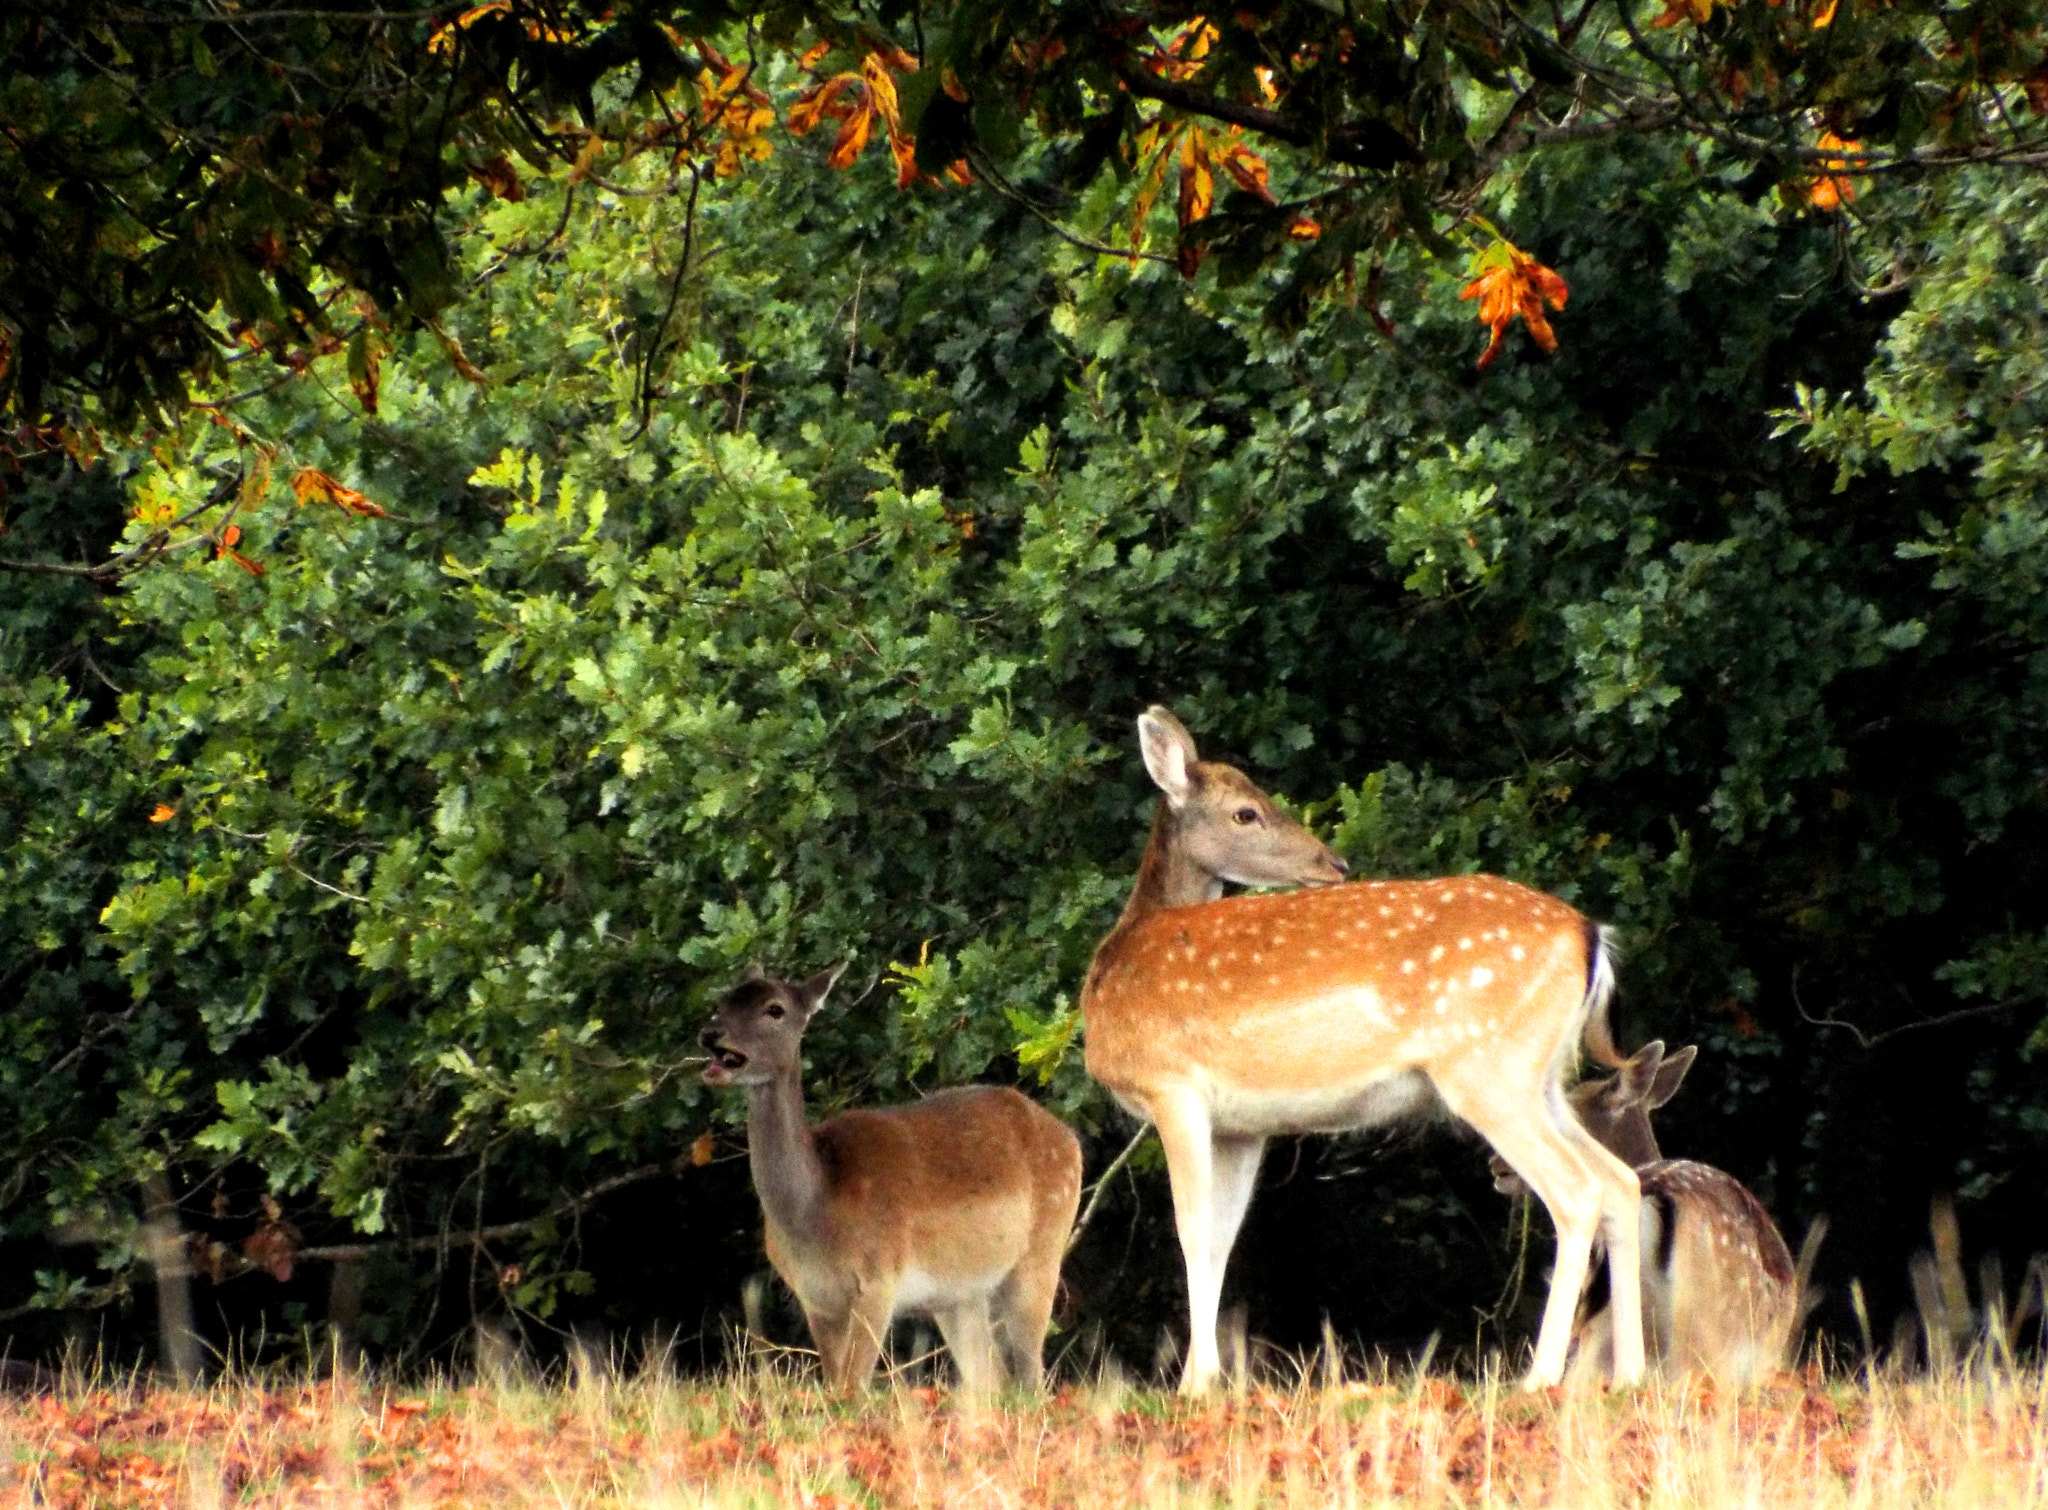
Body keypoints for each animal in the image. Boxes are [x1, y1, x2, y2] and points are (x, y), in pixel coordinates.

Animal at [700, 967, 1089, 1393]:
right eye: (722, 1001)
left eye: (775, 1009)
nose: (711, 1033)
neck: (815, 1213)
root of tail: (1070, 1138)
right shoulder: (814, 1298)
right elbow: (836, 1386)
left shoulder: (879, 1279)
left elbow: (852, 1389)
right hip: (959, 1294)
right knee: (993, 1379)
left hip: (1043, 1250)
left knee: (1031, 1379)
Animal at [1089, 704, 1646, 1393]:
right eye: (1247, 811)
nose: (1334, 863)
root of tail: (1590, 935)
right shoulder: (1243, 1125)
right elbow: (1221, 1237)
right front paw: (1210, 1377)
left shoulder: (1173, 1085)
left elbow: (1190, 1231)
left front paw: (1195, 1383)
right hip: (1540, 1079)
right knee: (1622, 1181)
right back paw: (1631, 1374)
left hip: (1486, 1067)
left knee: (1576, 1192)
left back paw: (1538, 1378)